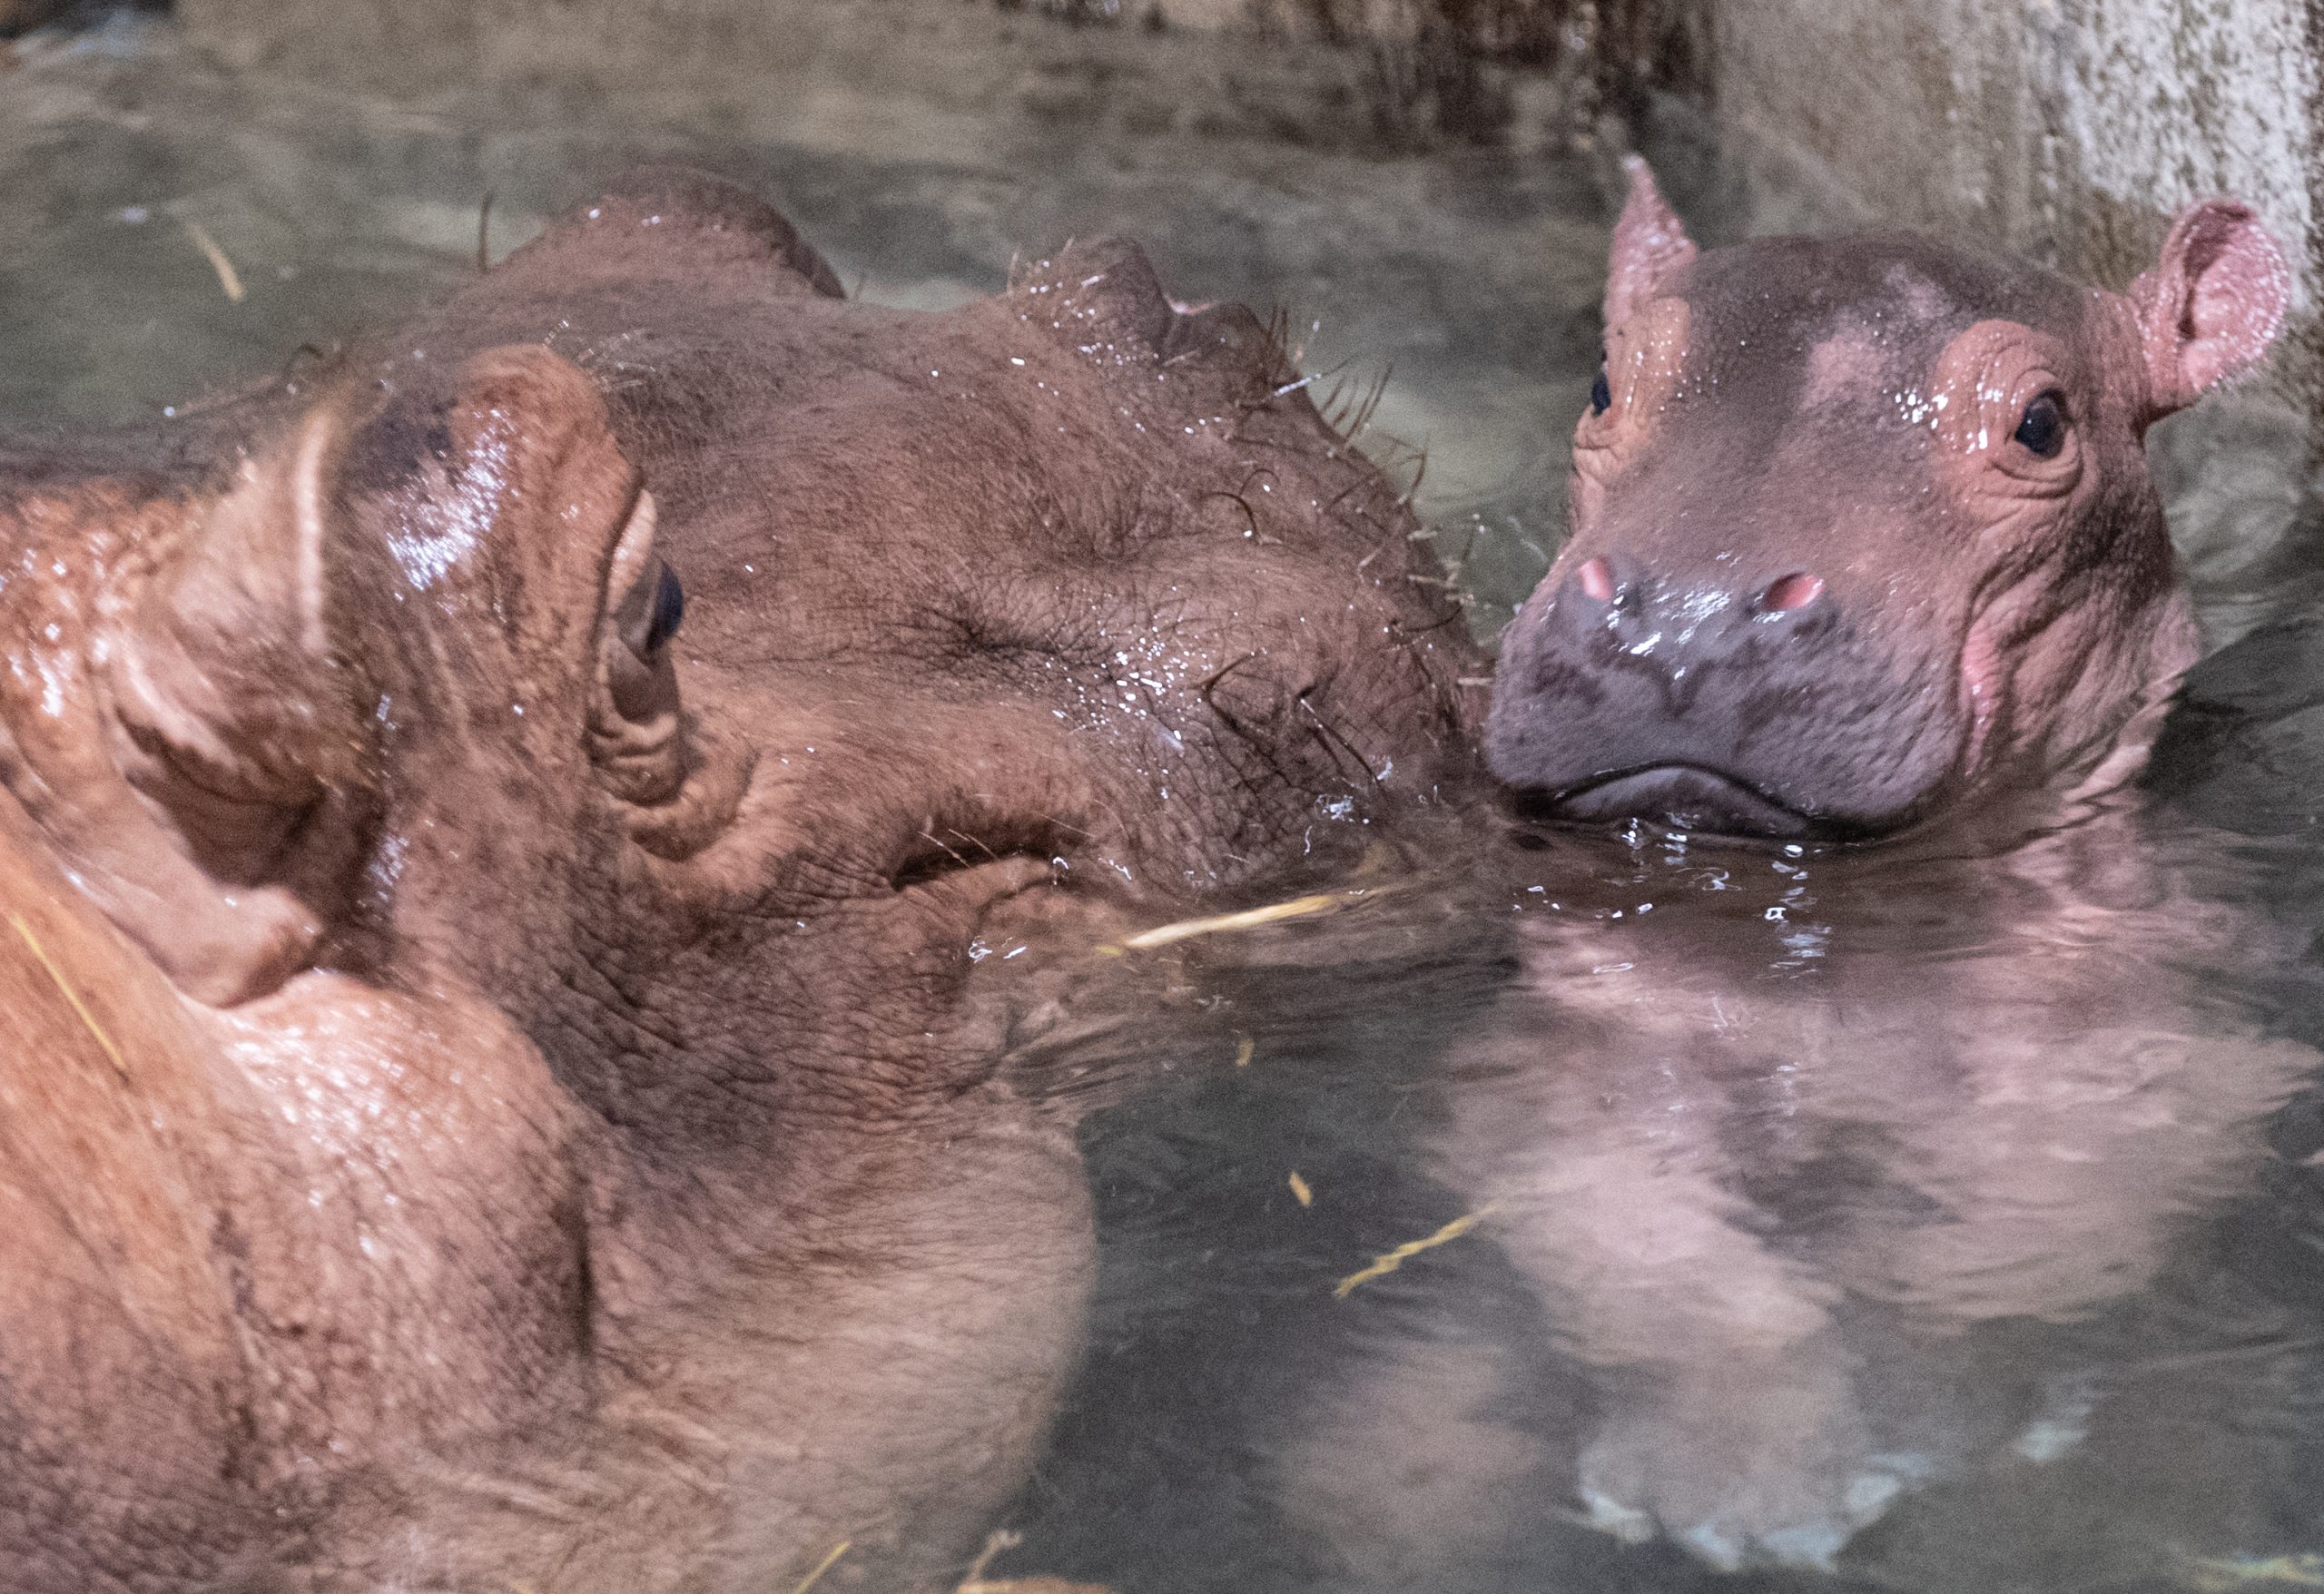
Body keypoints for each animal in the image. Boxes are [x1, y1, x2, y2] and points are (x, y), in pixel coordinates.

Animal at [1261, 161, 2319, 1582]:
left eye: (2043, 422)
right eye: (1603, 381)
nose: (1686, 616)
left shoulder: (2166, 1065)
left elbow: (2024, 1217)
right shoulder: (1558, 1054)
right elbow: (1640, 1229)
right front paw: (1737, 1468)